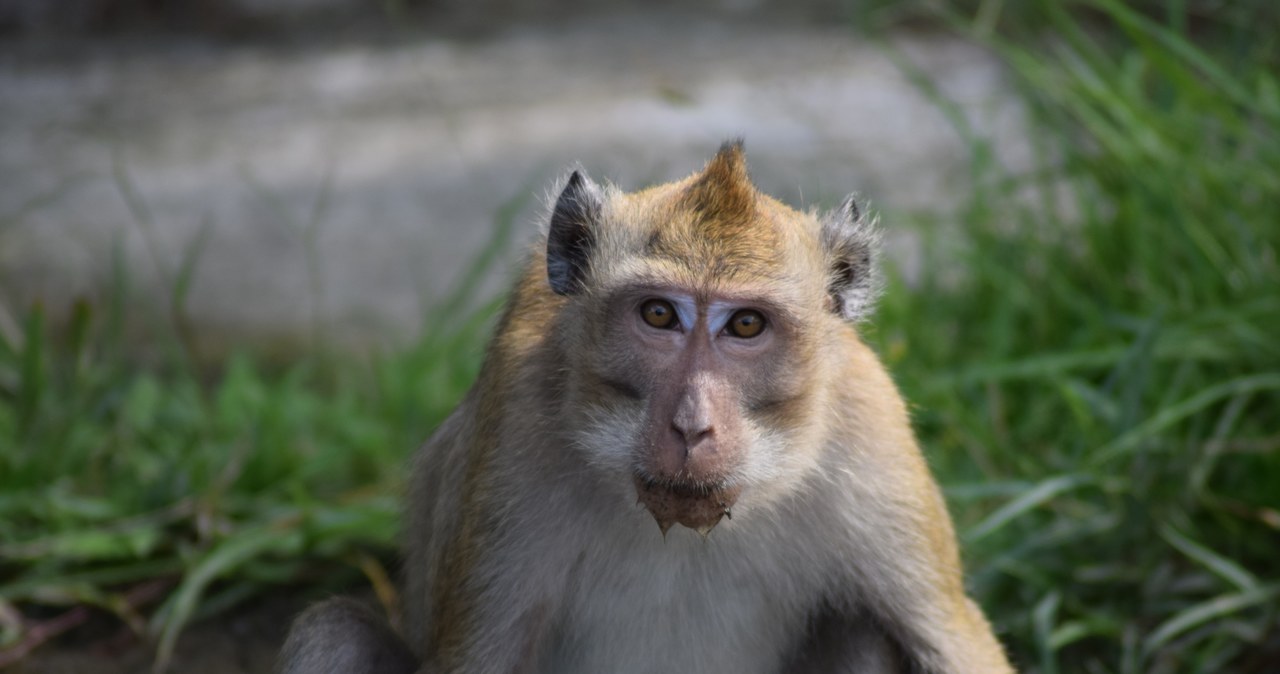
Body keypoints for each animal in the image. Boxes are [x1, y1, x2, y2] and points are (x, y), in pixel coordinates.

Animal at [277, 142, 1008, 674]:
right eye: (659, 314)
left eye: (746, 325)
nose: (691, 426)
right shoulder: (515, 434)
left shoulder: (868, 434)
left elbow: (952, 638)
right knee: (331, 633)